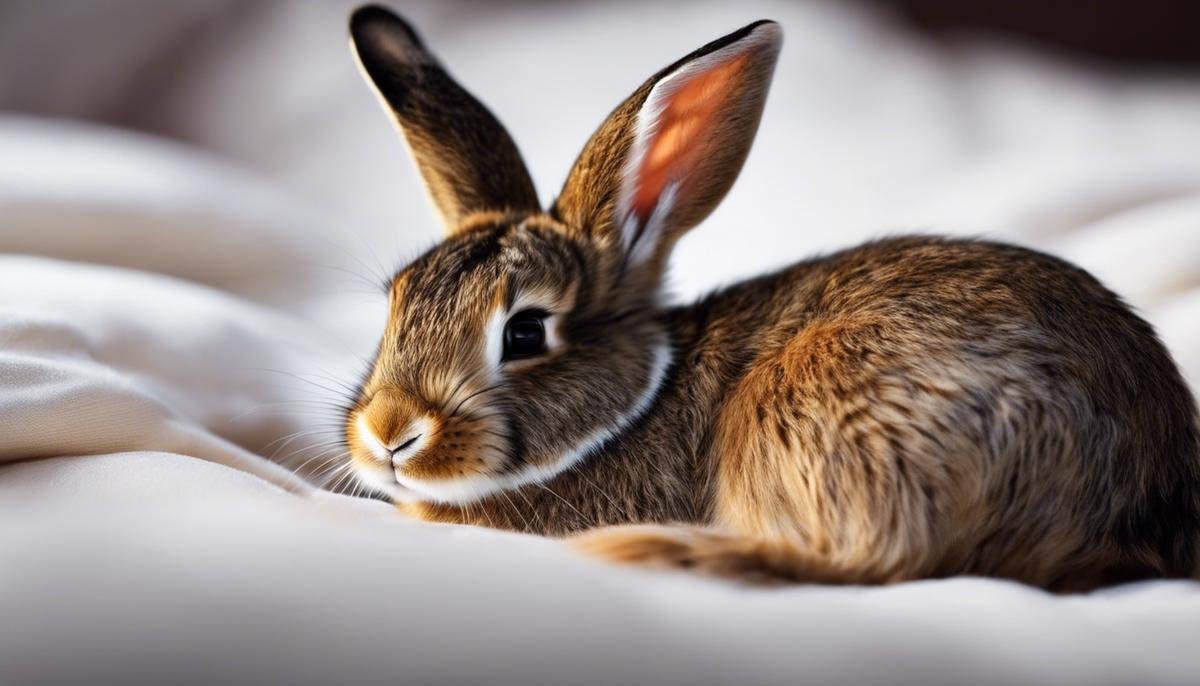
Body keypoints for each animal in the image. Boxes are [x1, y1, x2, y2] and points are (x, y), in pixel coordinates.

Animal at [340, 4, 1200, 590]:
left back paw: (656, 550)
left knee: (879, 562)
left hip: (810, 411)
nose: (388, 434)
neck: (636, 402)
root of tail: (1140, 508)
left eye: (525, 333)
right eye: (395, 301)